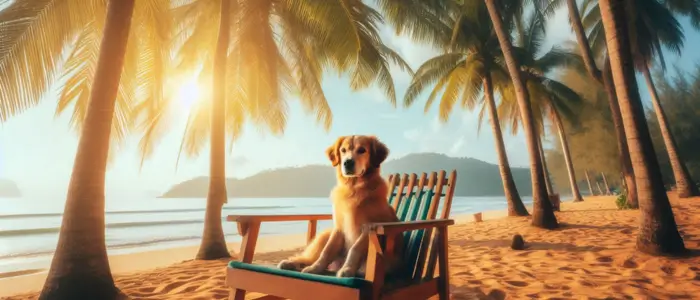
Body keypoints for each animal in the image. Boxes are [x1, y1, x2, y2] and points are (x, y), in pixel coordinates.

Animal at [276, 135, 402, 278]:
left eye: (362, 150)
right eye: (343, 150)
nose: (347, 162)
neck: (353, 188)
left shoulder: (368, 229)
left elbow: (355, 248)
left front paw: (348, 269)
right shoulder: (338, 228)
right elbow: (327, 251)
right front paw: (315, 268)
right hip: (325, 235)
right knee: (310, 258)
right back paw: (291, 263)